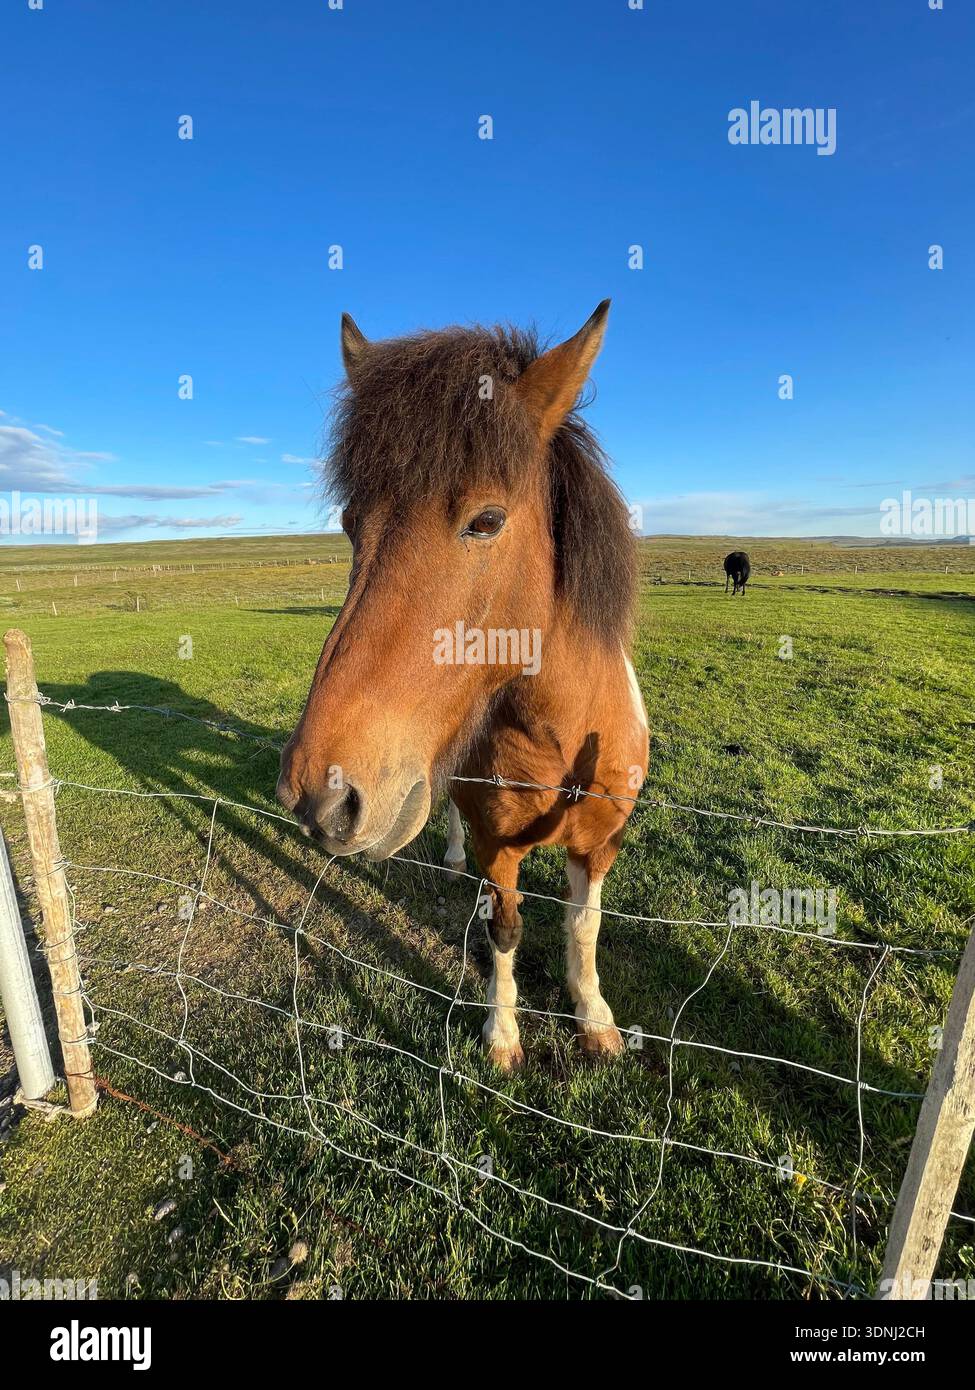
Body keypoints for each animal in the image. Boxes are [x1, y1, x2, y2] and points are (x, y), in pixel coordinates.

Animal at [277, 301, 649, 1072]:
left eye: (486, 521)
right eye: (351, 524)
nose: (318, 793)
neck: (566, 737)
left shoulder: (599, 846)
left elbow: (584, 927)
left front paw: (595, 1019)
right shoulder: (498, 851)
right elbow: (504, 932)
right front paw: (502, 1035)